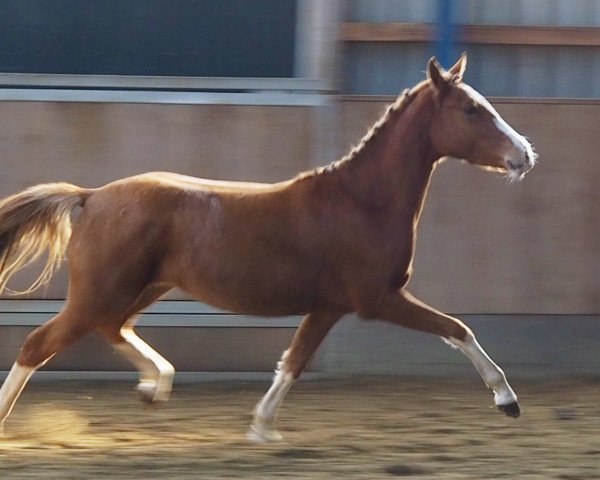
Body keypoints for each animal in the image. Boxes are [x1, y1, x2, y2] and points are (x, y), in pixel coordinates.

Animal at [0, 54, 536, 440]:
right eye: (471, 109)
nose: (525, 155)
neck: (360, 201)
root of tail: (91, 196)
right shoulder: (377, 300)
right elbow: (459, 329)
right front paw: (507, 401)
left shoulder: (327, 307)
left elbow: (292, 363)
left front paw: (262, 430)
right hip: (99, 293)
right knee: (38, 344)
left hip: (141, 289)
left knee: (113, 328)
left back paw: (157, 386)